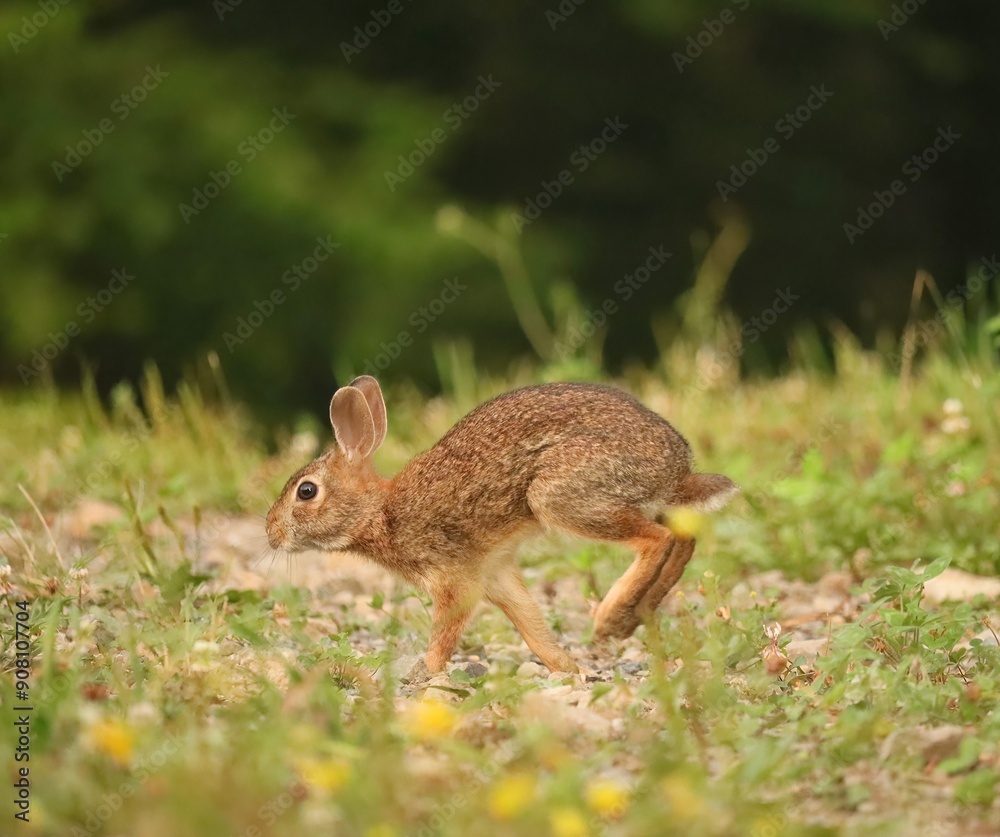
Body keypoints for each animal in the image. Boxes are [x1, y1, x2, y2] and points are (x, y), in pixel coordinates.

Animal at [266, 375, 737, 674]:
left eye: (305, 491)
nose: (271, 533)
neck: (381, 512)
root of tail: (678, 467)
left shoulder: (455, 581)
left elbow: (446, 632)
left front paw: (423, 672)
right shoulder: (495, 574)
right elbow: (531, 625)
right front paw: (568, 668)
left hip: (562, 495)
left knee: (657, 539)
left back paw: (610, 616)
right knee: (684, 536)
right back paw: (633, 616)